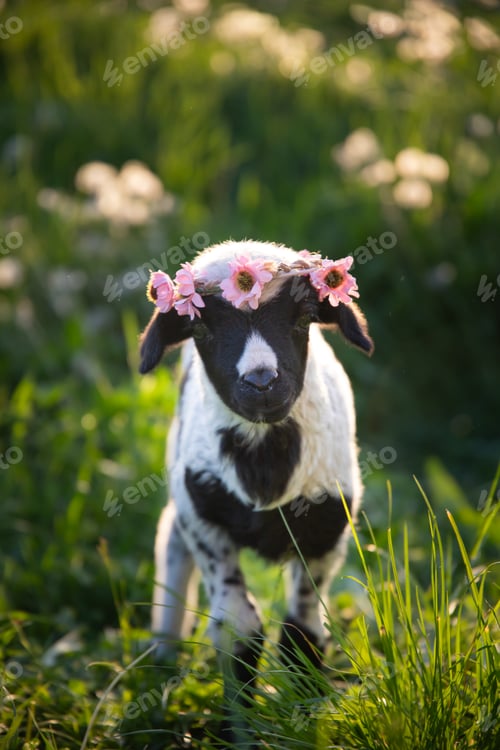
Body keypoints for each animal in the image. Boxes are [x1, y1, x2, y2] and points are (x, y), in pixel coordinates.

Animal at [139, 240, 373, 744]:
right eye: (199, 326)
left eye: (304, 317)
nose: (261, 382)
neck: (265, 463)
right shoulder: (206, 524)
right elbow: (238, 627)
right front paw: (242, 732)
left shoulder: (326, 534)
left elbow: (304, 630)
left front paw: (304, 720)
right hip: (183, 503)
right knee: (171, 546)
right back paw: (163, 655)